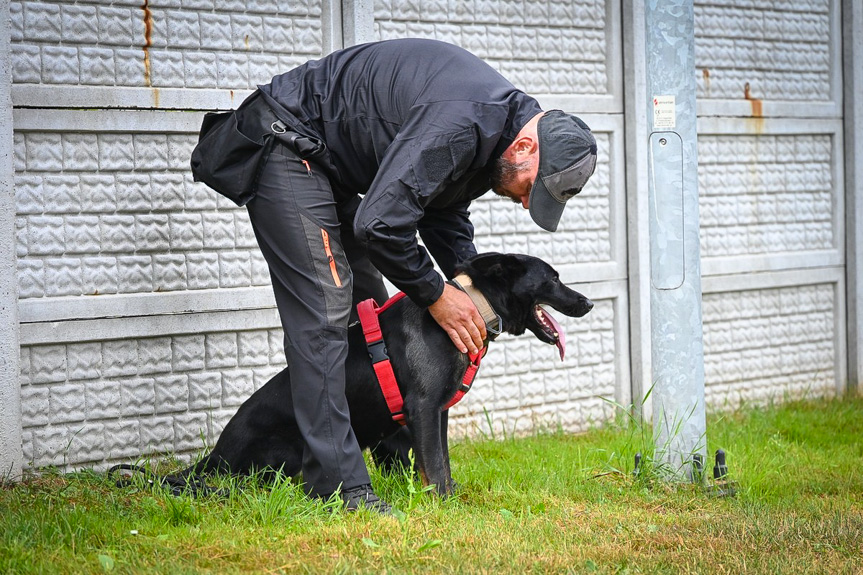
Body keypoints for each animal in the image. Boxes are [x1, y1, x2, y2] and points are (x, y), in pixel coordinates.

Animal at [184, 254, 592, 498]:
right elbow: (434, 465)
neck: (474, 304)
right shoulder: (423, 408)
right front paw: (443, 504)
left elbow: (441, 460)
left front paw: (450, 495)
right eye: (553, 279)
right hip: (284, 454)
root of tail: (214, 456)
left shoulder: (438, 413)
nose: (588, 302)